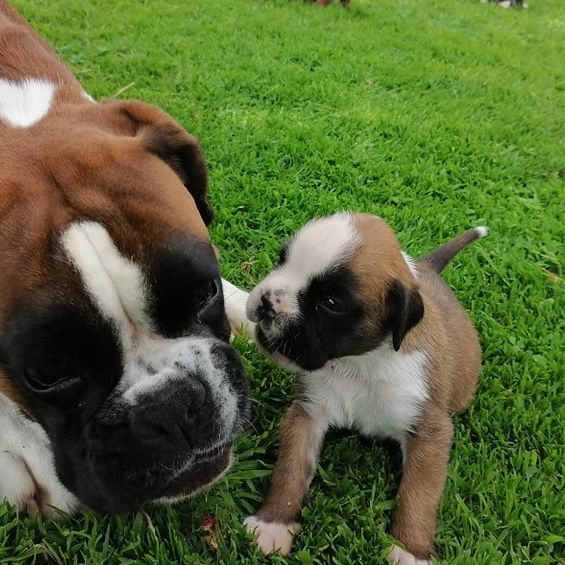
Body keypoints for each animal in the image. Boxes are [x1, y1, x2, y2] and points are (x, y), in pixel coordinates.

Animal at [225, 213, 486, 563]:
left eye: (331, 302)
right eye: (282, 259)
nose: (267, 303)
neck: (358, 363)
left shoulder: (429, 432)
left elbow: (419, 495)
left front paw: (410, 549)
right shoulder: (308, 415)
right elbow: (291, 470)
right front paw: (274, 522)